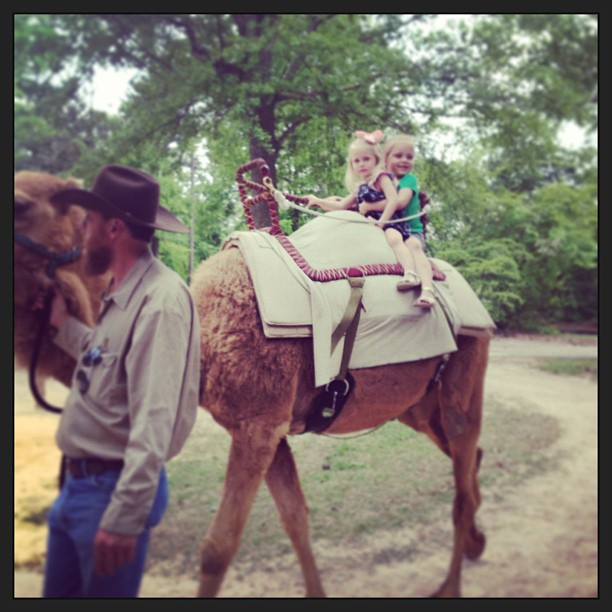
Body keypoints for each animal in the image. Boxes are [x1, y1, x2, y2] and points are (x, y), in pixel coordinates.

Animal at [14, 165, 490, 596]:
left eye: (20, 205)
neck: (203, 337)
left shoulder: (257, 427)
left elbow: (217, 548)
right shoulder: (268, 428)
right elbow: (295, 519)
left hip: (467, 367)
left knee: (461, 475)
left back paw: (450, 585)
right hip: (416, 405)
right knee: (469, 457)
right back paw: (476, 542)